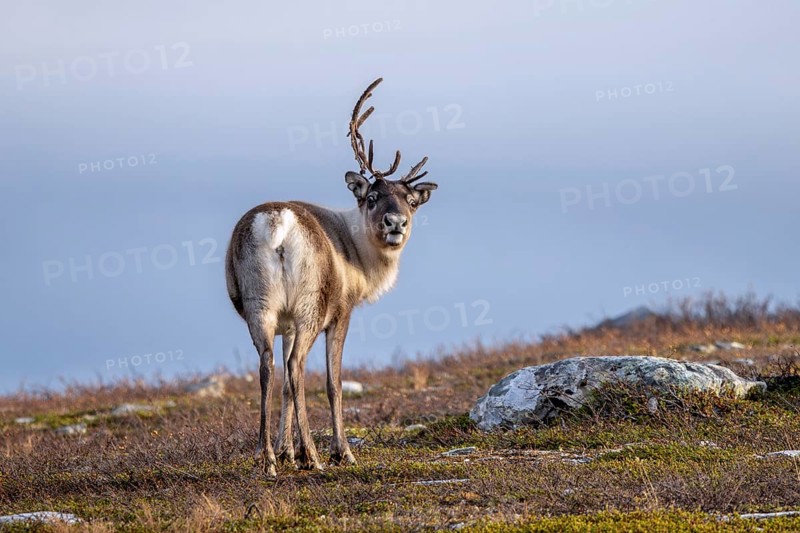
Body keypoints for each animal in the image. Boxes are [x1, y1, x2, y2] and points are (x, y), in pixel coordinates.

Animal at [225, 78, 438, 477]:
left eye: (410, 201)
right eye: (372, 197)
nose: (396, 223)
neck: (356, 251)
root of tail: (277, 223)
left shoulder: (286, 323)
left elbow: (286, 388)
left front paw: (286, 451)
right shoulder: (341, 314)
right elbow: (333, 383)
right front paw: (340, 452)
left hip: (261, 307)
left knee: (269, 367)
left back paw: (268, 459)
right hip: (311, 308)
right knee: (296, 367)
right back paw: (315, 456)